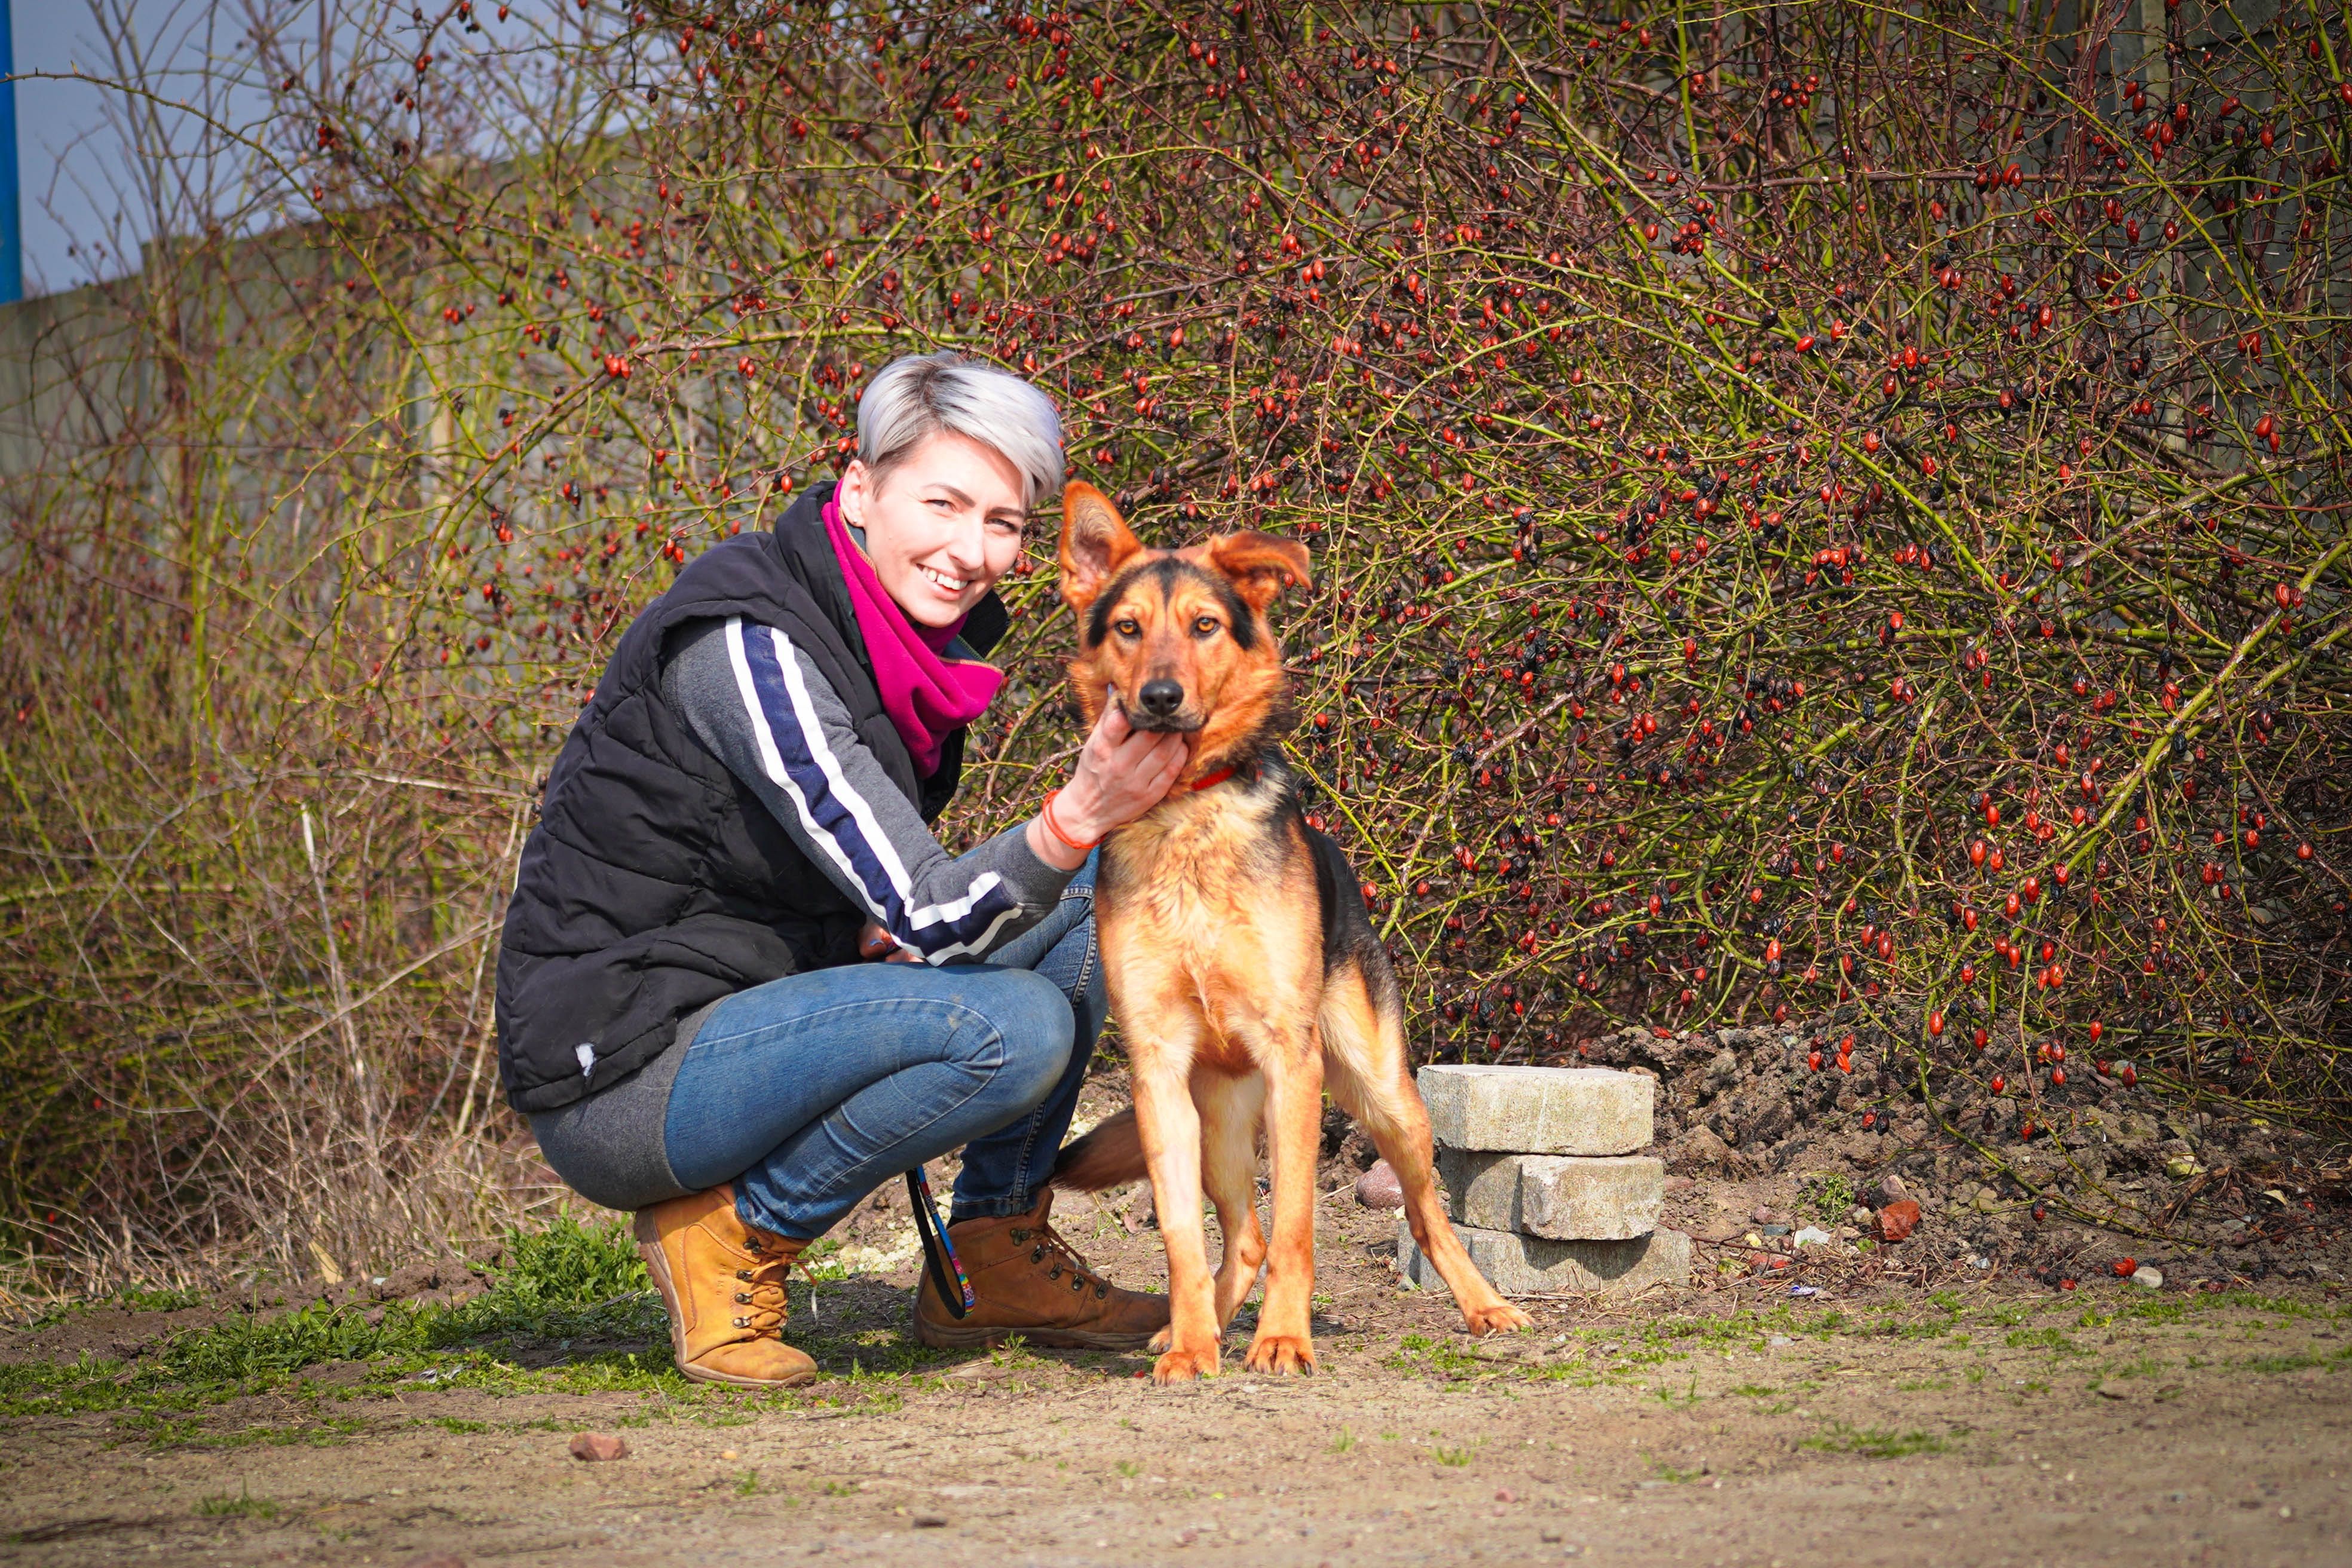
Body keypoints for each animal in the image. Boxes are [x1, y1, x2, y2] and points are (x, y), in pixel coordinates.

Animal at [1044, 482, 1524, 1382]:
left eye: (1204, 625)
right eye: (1128, 628)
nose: (1160, 698)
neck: (1187, 814)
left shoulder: (1292, 1065)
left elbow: (1302, 1221)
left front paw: (1283, 1339)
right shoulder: (1158, 1072)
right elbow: (1180, 1234)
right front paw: (1192, 1345)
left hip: (1382, 1094)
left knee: (1422, 1214)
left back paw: (1487, 1307)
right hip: (1219, 1121)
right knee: (1244, 1234)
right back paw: (1197, 1325)